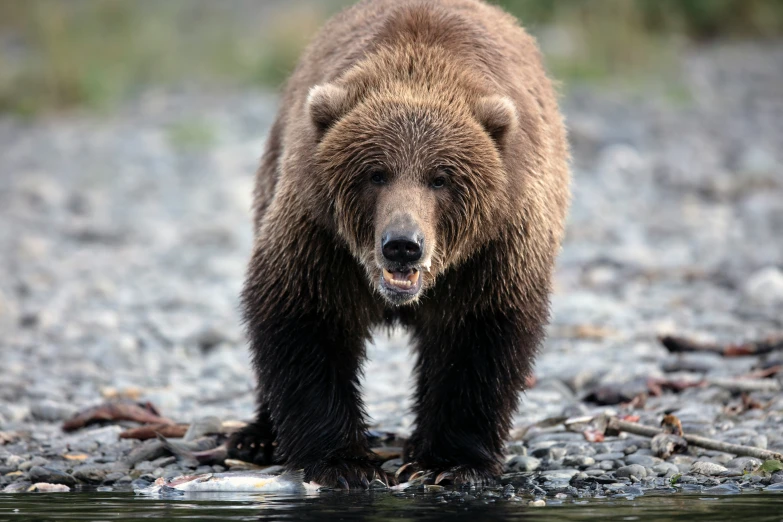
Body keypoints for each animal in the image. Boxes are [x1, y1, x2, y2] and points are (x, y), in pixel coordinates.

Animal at [230, 0, 572, 488]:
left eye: (440, 178)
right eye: (376, 173)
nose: (403, 245)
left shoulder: (494, 249)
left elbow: (479, 340)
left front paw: (449, 463)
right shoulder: (320, 239)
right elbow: (302, 320)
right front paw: (343, 463)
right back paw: (255, 437)